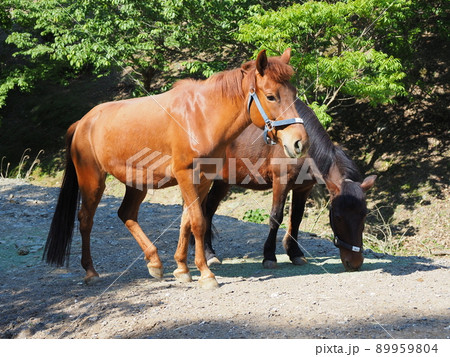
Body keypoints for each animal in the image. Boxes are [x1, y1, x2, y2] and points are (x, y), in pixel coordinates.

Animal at [43, 48, 310, 288]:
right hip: (93, 180)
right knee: (85, 220)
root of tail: (83, 122)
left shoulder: (202, 180)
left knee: (126, 214)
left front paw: (182, 268)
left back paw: (154, 261)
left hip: (136, 182)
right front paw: (205, 274)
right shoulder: (186, 176)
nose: (300, 142)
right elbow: (198, 222)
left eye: (294, 93)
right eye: (271, 96)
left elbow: (187, 221)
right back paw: (90, 271)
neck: (201, 117)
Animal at [202, 97, 374, 270]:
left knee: (208, 209)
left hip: (223, 181)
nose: (354, 263)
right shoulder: (281, 183)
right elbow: (276, 217)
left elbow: (296, 218)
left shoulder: (304, 188)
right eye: (338, 217)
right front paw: (269, 256)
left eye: (364, 215)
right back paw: (209, 254)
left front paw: (294, 252)